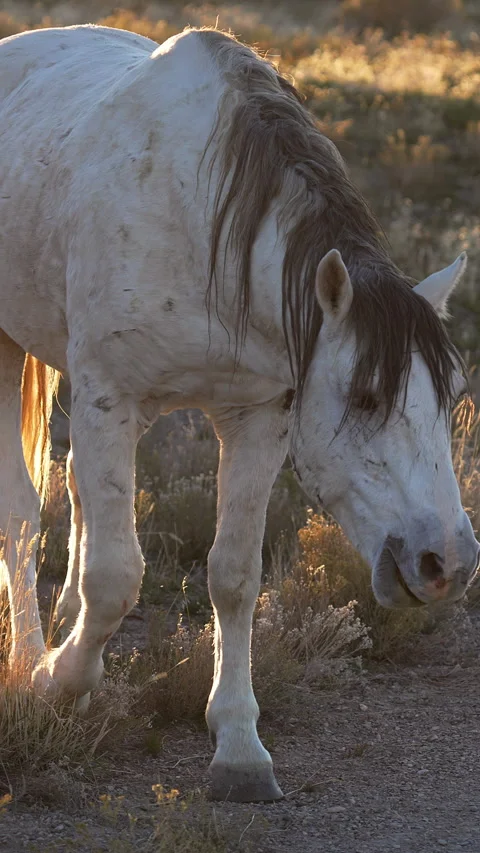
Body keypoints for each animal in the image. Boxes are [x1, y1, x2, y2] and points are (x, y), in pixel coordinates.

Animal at [0, 23, 478, 802]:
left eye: (455, 399)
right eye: (366, 396)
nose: (451, 562)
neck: (202, 223)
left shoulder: (258, 416)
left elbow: (233, 575)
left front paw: (239, 744)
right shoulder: (110, 396)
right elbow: (115, 577)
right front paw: (58, 680)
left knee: (72, 489)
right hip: (10, 346)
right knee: (21, 510)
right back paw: (29, 655)